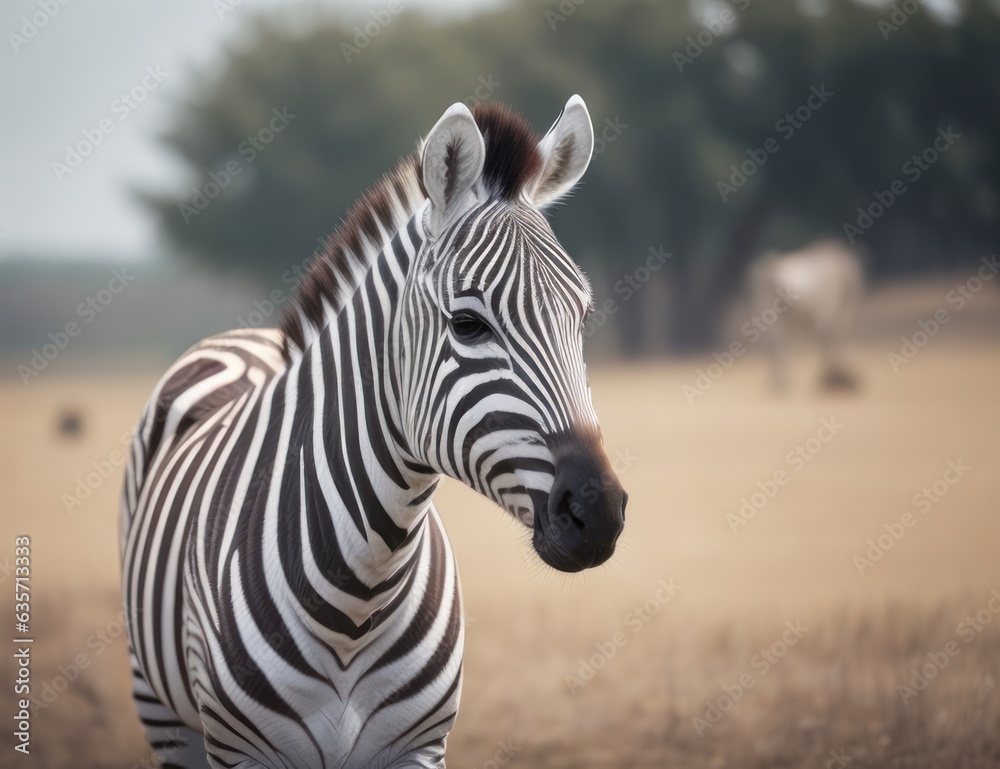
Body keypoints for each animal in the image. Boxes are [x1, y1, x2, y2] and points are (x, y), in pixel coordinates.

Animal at [120, 96, 627, 768]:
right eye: (468, 324)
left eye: (583, 317)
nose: (597, 512)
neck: (357, 591)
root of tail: (246, 338)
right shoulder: (241, 751)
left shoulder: (418, 748)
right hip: (163, 714)